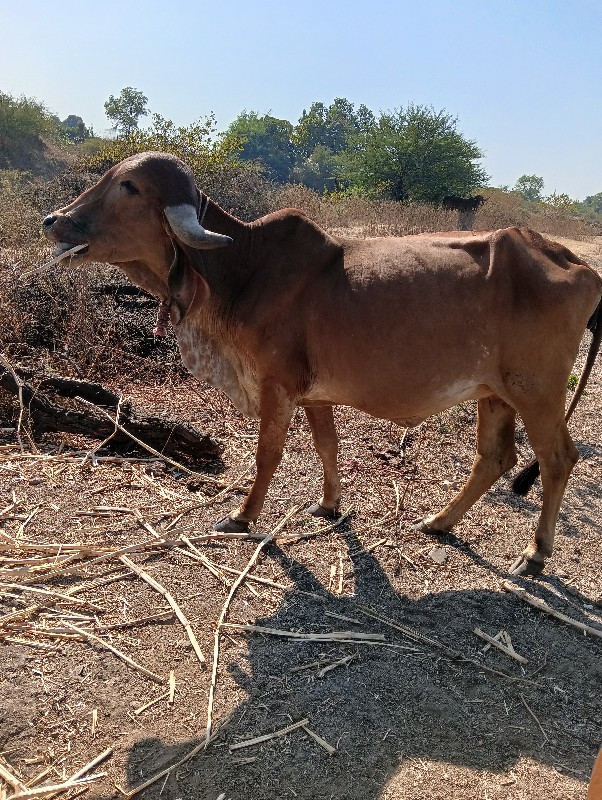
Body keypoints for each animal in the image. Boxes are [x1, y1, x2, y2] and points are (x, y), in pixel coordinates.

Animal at [42, 152, 600, 576]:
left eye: (129, 187)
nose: (53, 221)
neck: (244, 268)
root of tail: (576, 263)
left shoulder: (277, 386)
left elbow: (268, 455)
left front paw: (242, 517)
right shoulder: (314, 394)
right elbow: (327, 447)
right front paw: (329, 505)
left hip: (538, 392)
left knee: (557, 459)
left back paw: (535, 554)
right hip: (495, 393)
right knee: (495, 458)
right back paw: (438, 523)